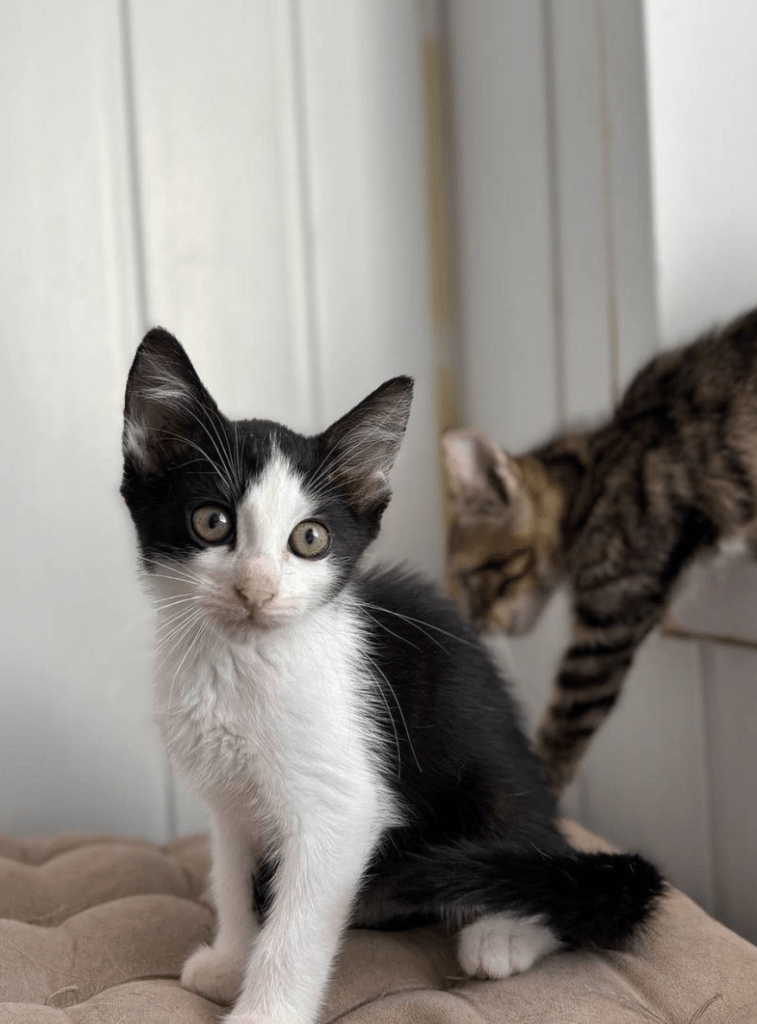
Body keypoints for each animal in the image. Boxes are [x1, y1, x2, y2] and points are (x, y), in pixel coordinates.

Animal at [118, 331, 663, 1024]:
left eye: (310, 538)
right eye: (212, 522)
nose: (255, 589)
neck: (240, 666)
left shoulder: (343, 806)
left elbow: (296, 928)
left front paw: (265, 1009)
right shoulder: (229, 800)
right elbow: (231, 875)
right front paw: (232, 957)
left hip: (494, 784)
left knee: (548, 874)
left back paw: (503, 932)